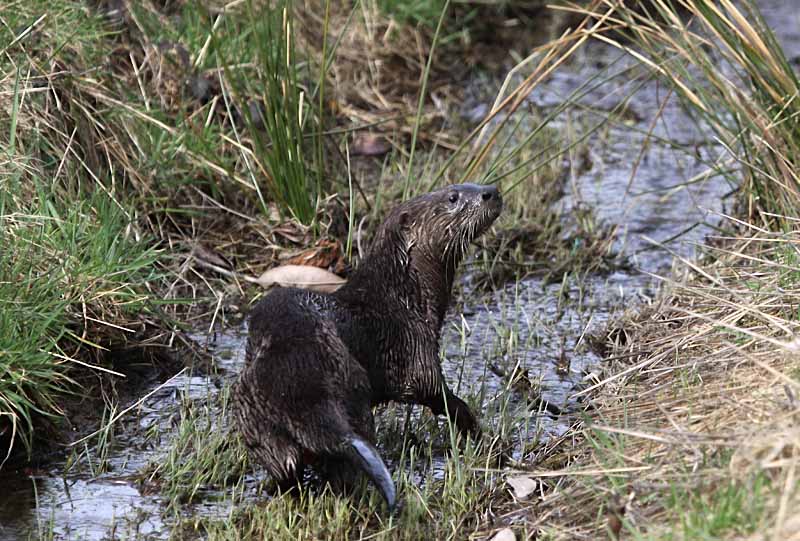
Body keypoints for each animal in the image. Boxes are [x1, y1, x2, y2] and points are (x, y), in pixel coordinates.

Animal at [234, 184, 504, 508]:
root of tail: (300, 389)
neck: (403, 295)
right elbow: (430, 389)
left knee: (285, 466)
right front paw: (475, 429)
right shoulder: (414, 344)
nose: (492, 190)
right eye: (453, 197)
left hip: (253, 415)